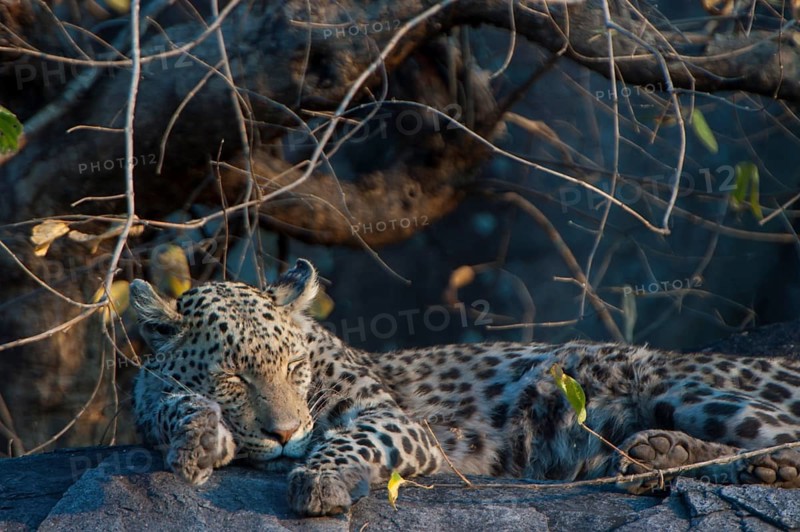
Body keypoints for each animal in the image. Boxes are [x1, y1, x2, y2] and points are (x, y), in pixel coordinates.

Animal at [130, 259, 800, 517]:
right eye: (232, 377)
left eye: (293, 368)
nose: (287, 434)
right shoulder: (145, 396)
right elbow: (165, 402)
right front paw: (198, 439)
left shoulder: (398, 422)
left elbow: (346, 439)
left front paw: (319, 479)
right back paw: (658, 455)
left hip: (677, 381)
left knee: (783, 438)